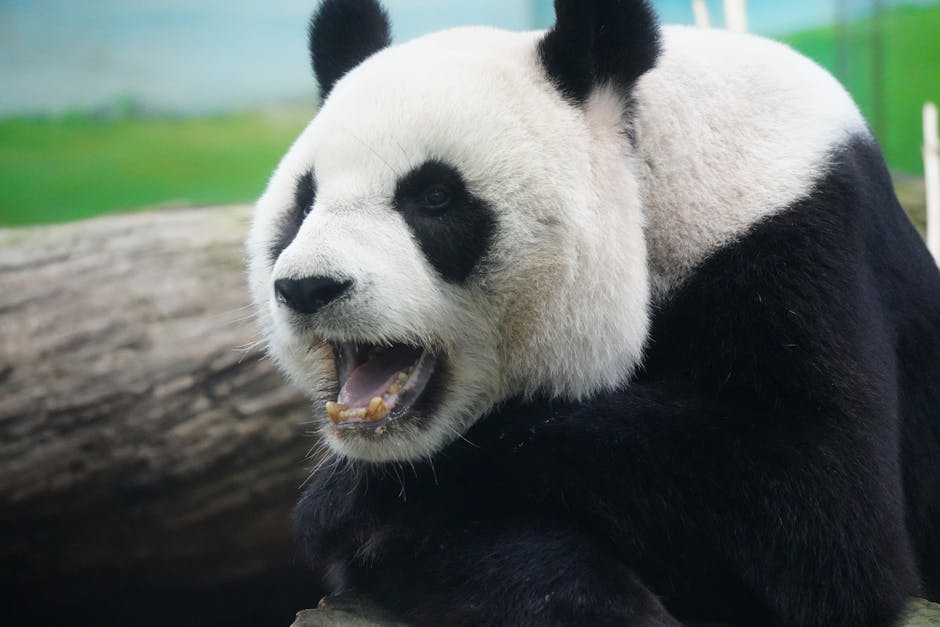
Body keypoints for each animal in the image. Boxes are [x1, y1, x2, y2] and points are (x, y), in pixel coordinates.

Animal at [247, 0, 940, 624]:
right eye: (303, 203)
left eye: (435, 197)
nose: (308, 288)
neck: (647, 154)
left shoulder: (789, 235)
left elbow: (815, 494)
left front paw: (346, 500)